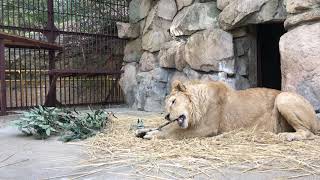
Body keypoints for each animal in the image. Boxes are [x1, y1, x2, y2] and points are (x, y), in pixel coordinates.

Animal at [136, 80, 320, 141]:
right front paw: (143, 130)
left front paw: (152, 134)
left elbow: (174, 131)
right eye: (166, 107)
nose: (167, 116)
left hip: (283, 98)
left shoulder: (206, 128)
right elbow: (168, 127)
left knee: (308, 133)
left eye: (173, 101)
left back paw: (288, 136)